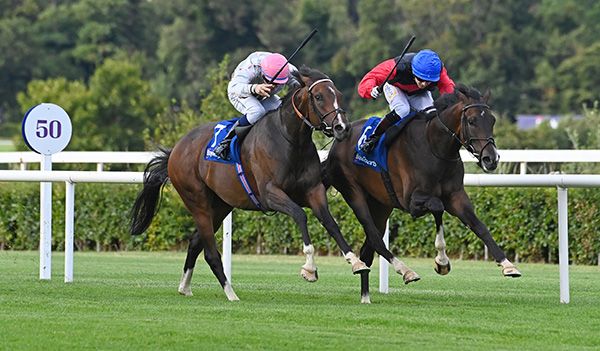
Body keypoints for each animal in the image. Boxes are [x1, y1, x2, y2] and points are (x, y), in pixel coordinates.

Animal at [130, 66, 370, 302]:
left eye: (338, 95)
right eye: (319, 97)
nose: (342, 128)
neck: (291, 140)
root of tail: (176, 149)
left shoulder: (313, 190)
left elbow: (330, 222)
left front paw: (356, 261)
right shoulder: (270, 194)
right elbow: (300, 215)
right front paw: (309, 269)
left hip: (221, 205)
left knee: (196, 241)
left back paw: (185, 287)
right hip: (197, 202)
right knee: (210, 252)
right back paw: (230, 293)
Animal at [324, 84, 520, 304]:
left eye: (492, 120)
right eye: (471, 121)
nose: (491, 159)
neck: (435, 147)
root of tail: (337, 144)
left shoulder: (457, 196)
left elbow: (480, 226)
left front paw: (507, 265)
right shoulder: (412, 201)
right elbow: (438, 207)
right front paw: (442, 262)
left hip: (381, 205)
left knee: (369, 247)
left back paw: (366, 296)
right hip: (354, 192)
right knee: (374, 237)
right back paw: (405, 272)